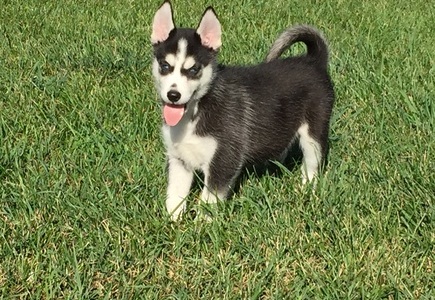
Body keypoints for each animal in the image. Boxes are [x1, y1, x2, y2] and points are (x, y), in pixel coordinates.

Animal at [152, 0, 336, 220]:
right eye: (165, 66)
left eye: (194, 69)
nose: (173, 95)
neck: (195, 112)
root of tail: (313, 61)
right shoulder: (179, 160)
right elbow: (175, 196)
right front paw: (172, 222)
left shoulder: (223, 160)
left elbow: (209, 200)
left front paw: (203, 225)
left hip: (313, 135)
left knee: (312, 166)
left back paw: (306, 191)